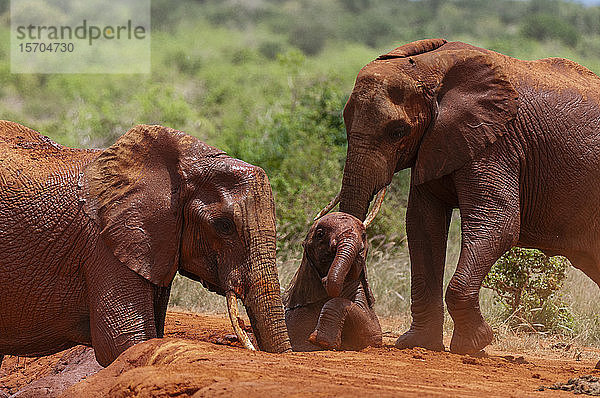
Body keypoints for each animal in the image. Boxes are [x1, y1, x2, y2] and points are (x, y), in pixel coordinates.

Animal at [284, 213, 382, 350]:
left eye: (363, 235)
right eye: (320, 234)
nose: (325, 279)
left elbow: (371, 334)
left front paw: (321, 341)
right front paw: (320, 341)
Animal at [318, 38, 600, 354]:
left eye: (397, 131)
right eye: (344, 121)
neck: (432, 67)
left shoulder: (496, 143)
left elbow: (498, 225)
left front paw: (475, 344)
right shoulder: (435, 143)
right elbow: (422, 227)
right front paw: (418, 344)